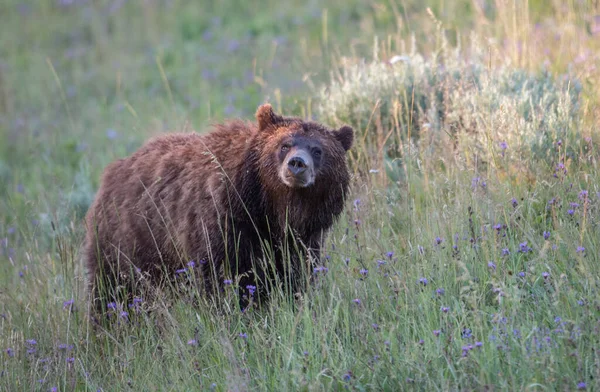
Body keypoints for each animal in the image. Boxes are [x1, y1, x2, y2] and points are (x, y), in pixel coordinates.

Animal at [84, 104, 354, 312]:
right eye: (285, 145)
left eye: (317, 150)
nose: (297, 164)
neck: (269, 206)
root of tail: (111, 171)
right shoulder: (222, 223)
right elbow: (220, 278)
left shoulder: (300, 240)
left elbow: (295, 277)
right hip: (127, 241)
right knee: (112, 290)